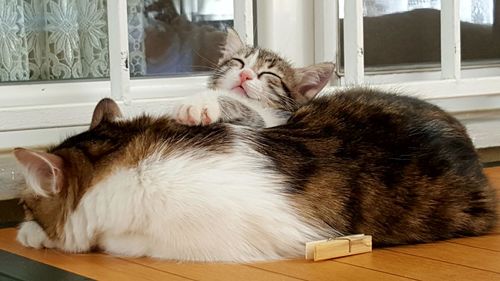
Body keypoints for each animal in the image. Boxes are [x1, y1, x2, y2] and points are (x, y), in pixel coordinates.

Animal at [173, 28, 336, 127]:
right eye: (239, 62)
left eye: (269, 74)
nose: (245, 74)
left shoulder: (270, 124)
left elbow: (250, 113)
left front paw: (202, 102)